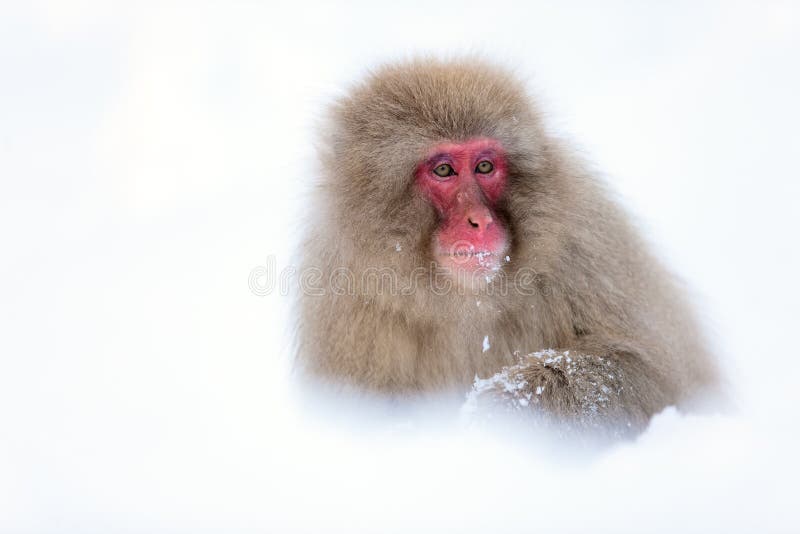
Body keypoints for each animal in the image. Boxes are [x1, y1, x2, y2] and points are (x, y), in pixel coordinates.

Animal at [294, 58, 719, 438]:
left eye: (484, 166)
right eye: (444, 170)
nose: (479, 221)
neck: (462, 299)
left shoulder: (585, 243)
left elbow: (642, 370)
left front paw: (501, 408)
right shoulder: (344, 303)